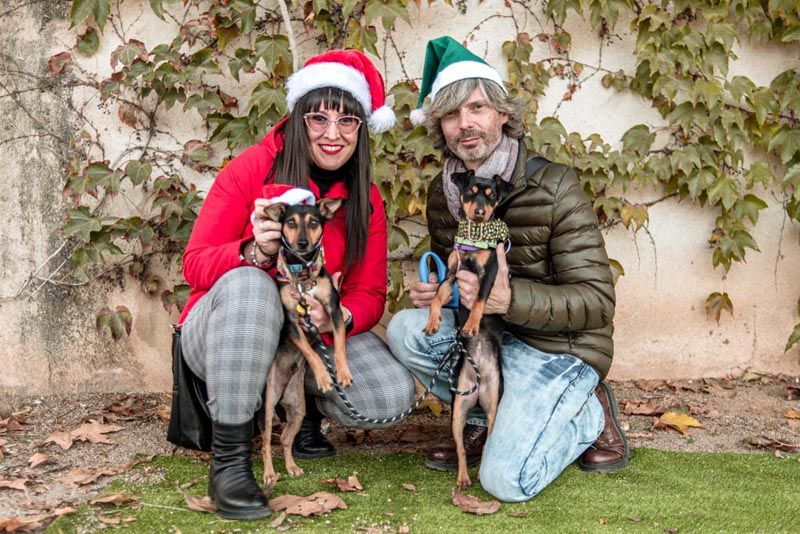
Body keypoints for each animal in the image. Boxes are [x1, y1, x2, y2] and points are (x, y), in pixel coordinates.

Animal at [259, 196, 351, 485]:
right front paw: (323, 377)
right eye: (290, 222)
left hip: (298, 408)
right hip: (268, 406)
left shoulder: (333, 310)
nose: (301, 243)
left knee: (286, 440)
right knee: (266, 443)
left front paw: (342, 372)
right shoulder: (291, 323)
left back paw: (291, 467)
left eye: (313, 222)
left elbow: (339, 345)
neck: (303, 277)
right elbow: (311, 354)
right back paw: (269, 474)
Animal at [423, 170, 512, 489]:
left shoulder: (490, 275)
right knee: (461, 447)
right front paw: (432, 322)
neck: (474, 240)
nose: (480, 212)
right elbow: (437, 297)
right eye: (470, 193)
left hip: (494, 405)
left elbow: (480, 302)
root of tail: (479, 381)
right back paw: (462, 478)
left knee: (487, 443)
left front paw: (472, 325)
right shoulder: (451, 274)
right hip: (459, 409)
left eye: (492, 196)